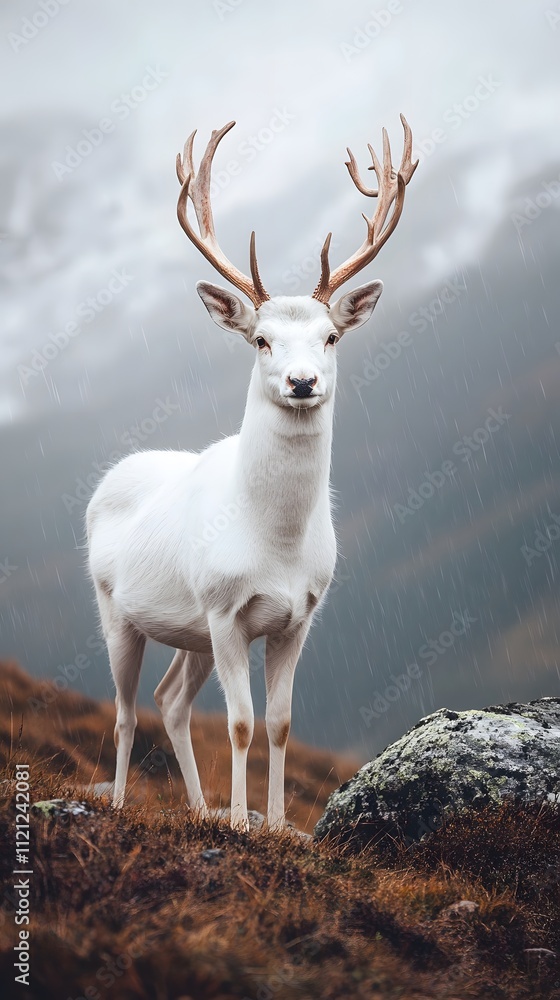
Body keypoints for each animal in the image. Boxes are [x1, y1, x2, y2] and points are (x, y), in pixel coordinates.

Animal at [86, 116, 417, 831]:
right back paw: (123, 801)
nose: (302, 382)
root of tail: (112, 475)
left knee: (169, 700)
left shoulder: (299, 615)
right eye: (261, 340)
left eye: (331, 337)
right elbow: (239, 723)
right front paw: (243, 822)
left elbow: (280, 723)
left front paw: (277, 823)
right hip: (118, 609)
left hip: (188, 632)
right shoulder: (225, 608)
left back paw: (197, 808)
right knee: (125, 711)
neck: (277, 544)